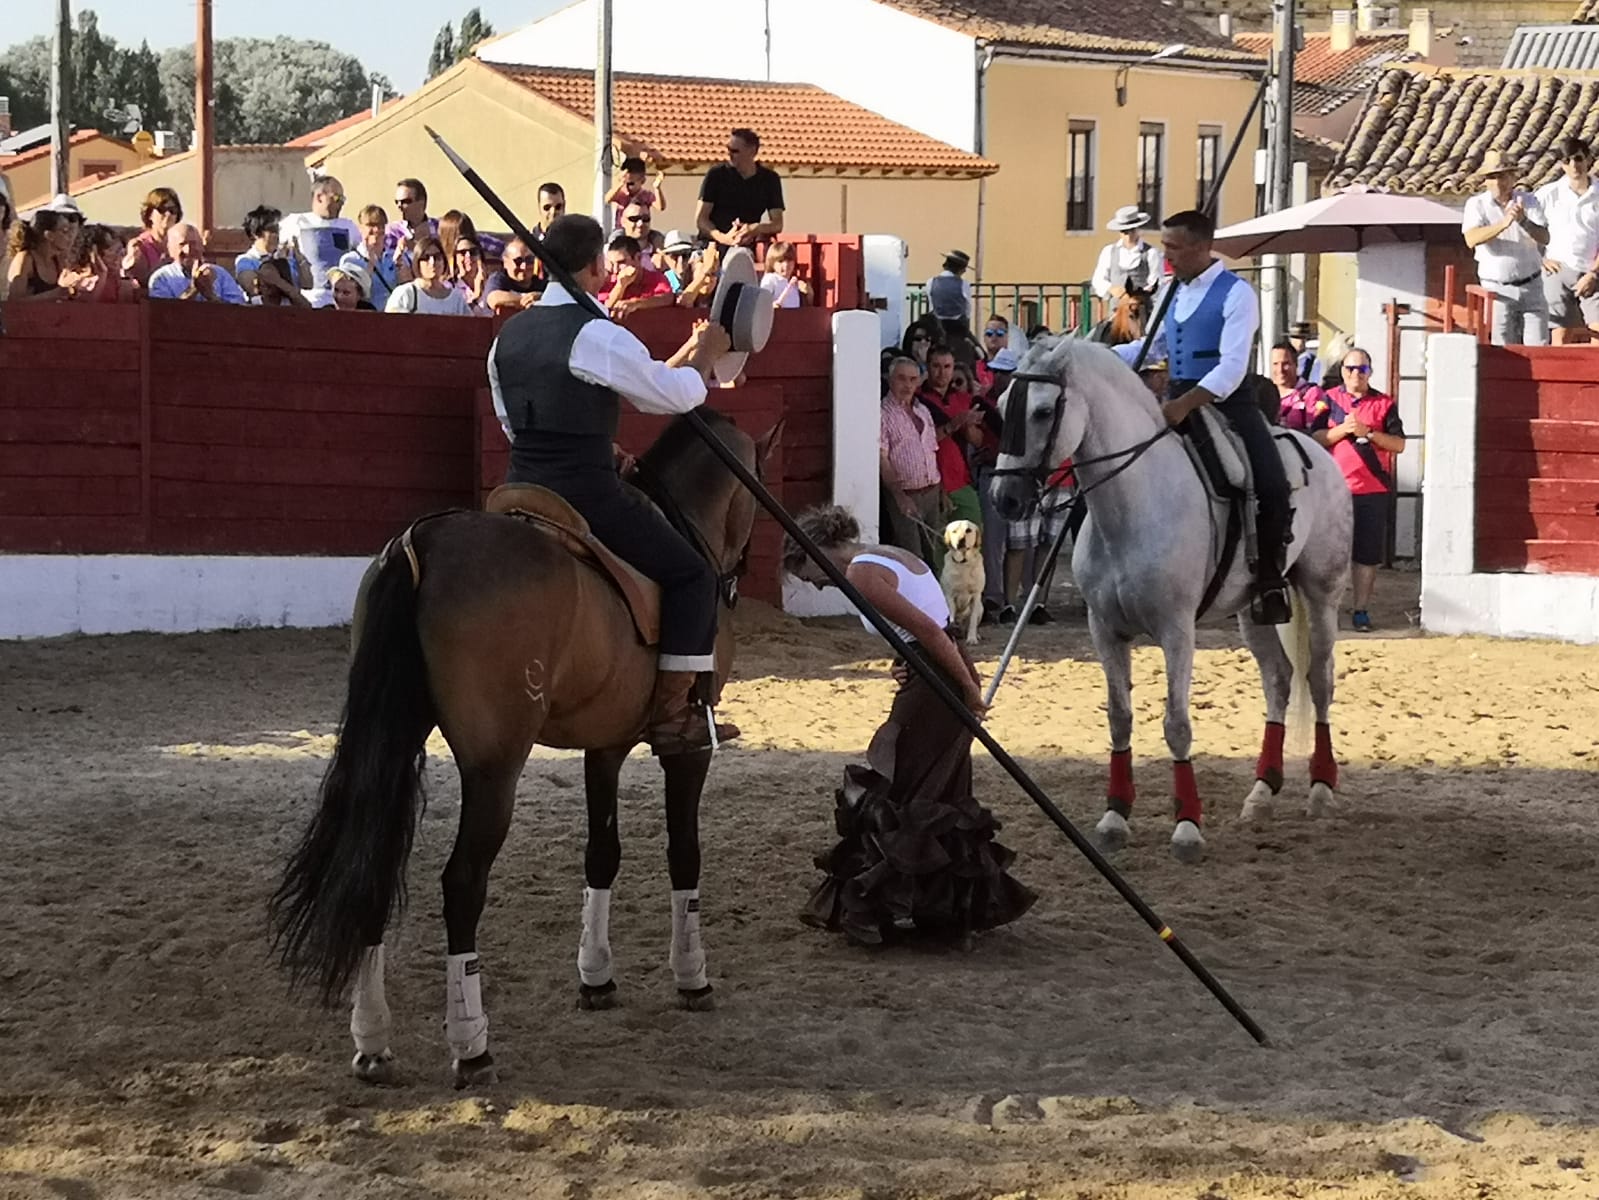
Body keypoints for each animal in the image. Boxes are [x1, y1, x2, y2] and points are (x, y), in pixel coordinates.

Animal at [270, 412, 780, 1088]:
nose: (741, 573)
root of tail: (420, 543)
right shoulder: (688, 750)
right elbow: (685, 855)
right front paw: (691, 977)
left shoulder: (604, 743)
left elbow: (601, 855)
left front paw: (596, 977)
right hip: (495, 767)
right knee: (462, 883)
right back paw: (472, 1045)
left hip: (395, 740)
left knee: (370, 865)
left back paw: (373, 1040)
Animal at [991, 339, 1355, 864]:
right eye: (1002, 408)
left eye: (1042, 411)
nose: (1004, 499)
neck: (1131, 506)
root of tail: (1318, 453)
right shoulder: (1104, 629)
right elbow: (1120, 718)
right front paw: (1115, 816)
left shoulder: (1177, 630)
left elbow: (1177, 723)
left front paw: (1187, 826)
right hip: (1255, 610)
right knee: (1279, 681)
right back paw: (1261, 793)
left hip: (1322, 593)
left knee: (1319, 681)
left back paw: (1321, 789)